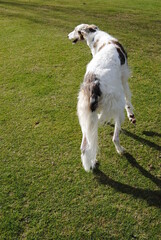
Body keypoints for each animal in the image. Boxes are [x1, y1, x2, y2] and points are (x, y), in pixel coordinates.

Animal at [67, 23, 135, 172]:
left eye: (75, 30)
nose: (68, 36)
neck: (97, 37)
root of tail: (93, 84)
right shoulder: (124, 77)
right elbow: (128, 98)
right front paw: (132, 115)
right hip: (116, 106)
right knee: (113, 137)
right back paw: (120, 149)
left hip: (86, 114)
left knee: (85, 143)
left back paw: (91, 162)